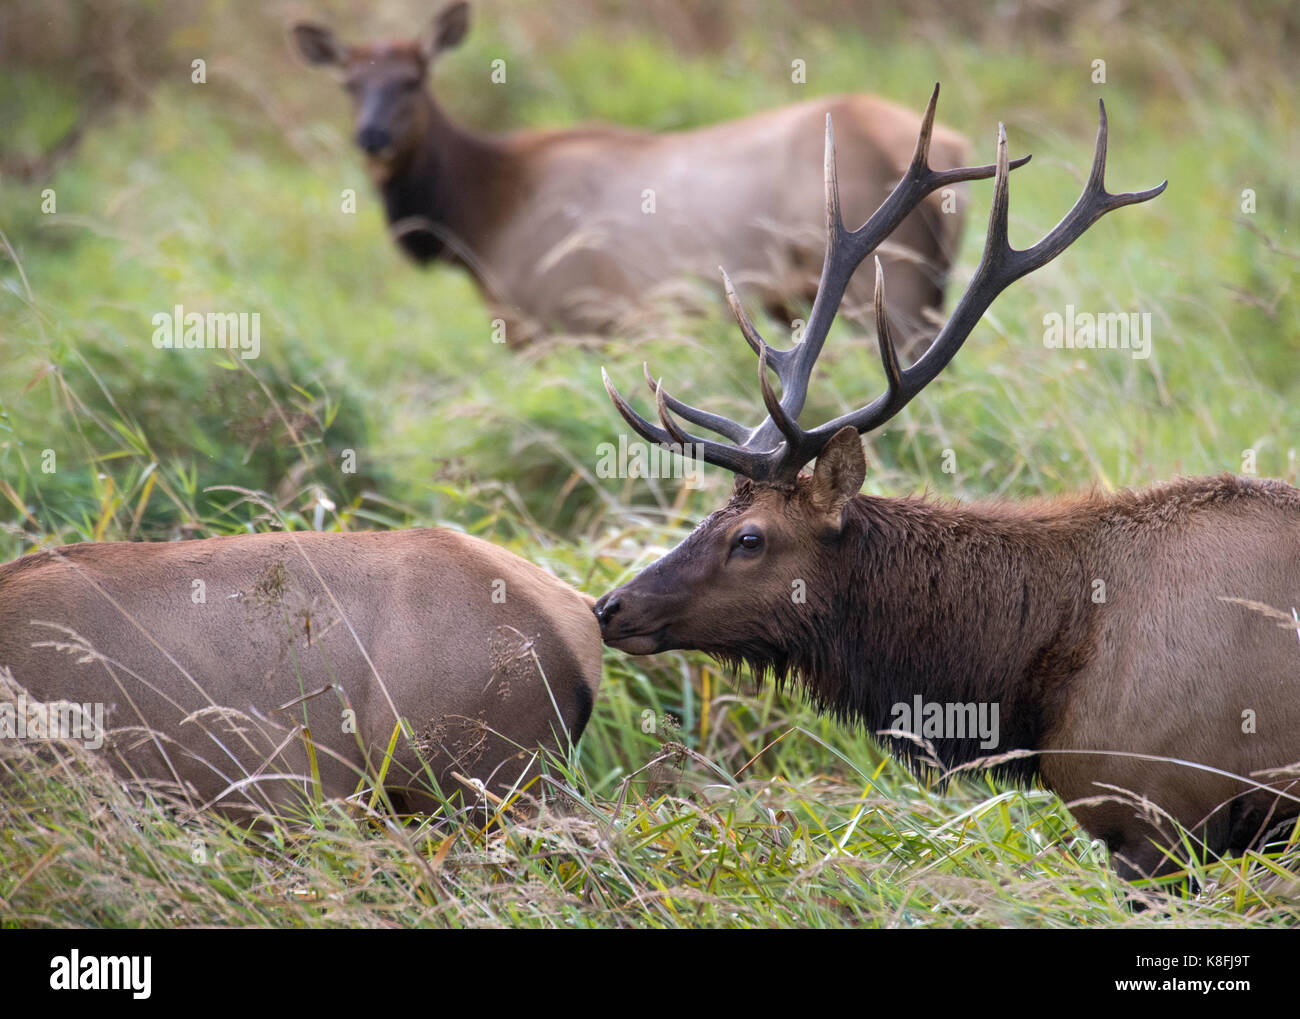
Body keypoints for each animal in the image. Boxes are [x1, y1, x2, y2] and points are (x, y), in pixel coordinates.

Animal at [290, 2, 971, 351]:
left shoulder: (561, 319)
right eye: (349, 85)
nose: (371, 137)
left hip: (891, 286)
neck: (479, 221)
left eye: (412, 81)